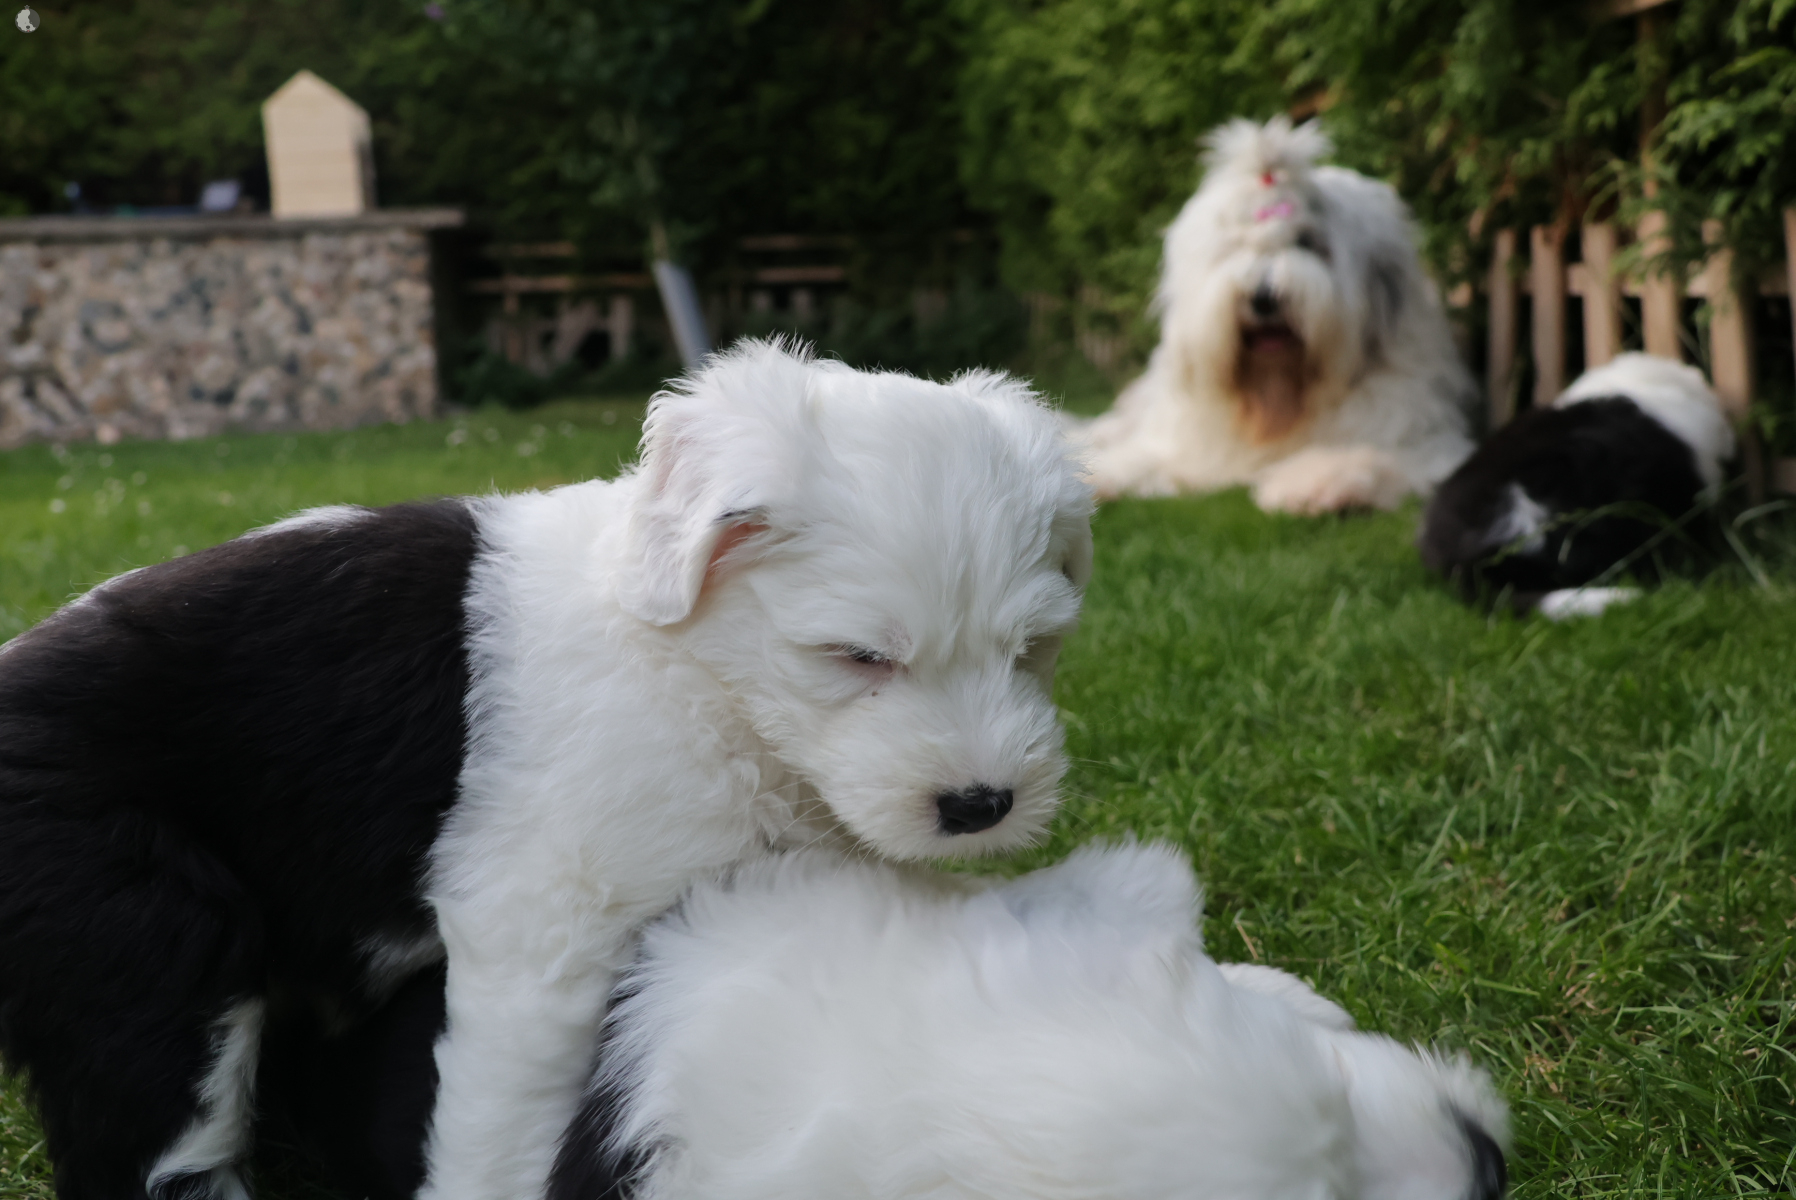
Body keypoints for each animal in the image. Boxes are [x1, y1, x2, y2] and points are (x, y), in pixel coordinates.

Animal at [0, 340, 1093, 1200]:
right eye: (857, 657)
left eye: (1030, 648)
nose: (980, 805)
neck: (697, 673)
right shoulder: (540, 933)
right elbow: (501, 1128)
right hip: (137, 937)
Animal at [1074, 117, 1477, 514]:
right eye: (1235, 246)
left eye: (1307, 242)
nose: (1263, 298)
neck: (1277, 402)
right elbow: (1142, 458)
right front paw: (1093, 477)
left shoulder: (1424, 442)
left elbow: (1378, 454)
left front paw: (1317, 482)